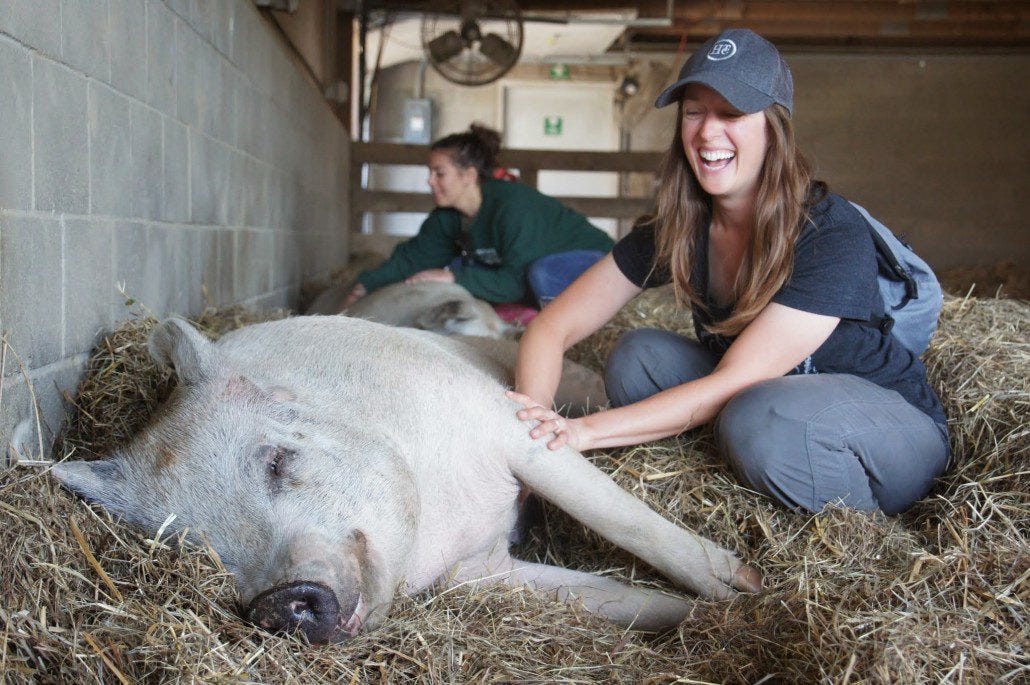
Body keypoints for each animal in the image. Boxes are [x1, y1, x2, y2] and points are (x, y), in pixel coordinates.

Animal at [52, 316, 760, 643]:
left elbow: (616, 515)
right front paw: (721, 618)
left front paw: (748, 589)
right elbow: (607, 600)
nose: (279, 600)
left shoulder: (505, 424)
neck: (439, 527)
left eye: (277, 462)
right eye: (190, 548)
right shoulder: (479, 572)